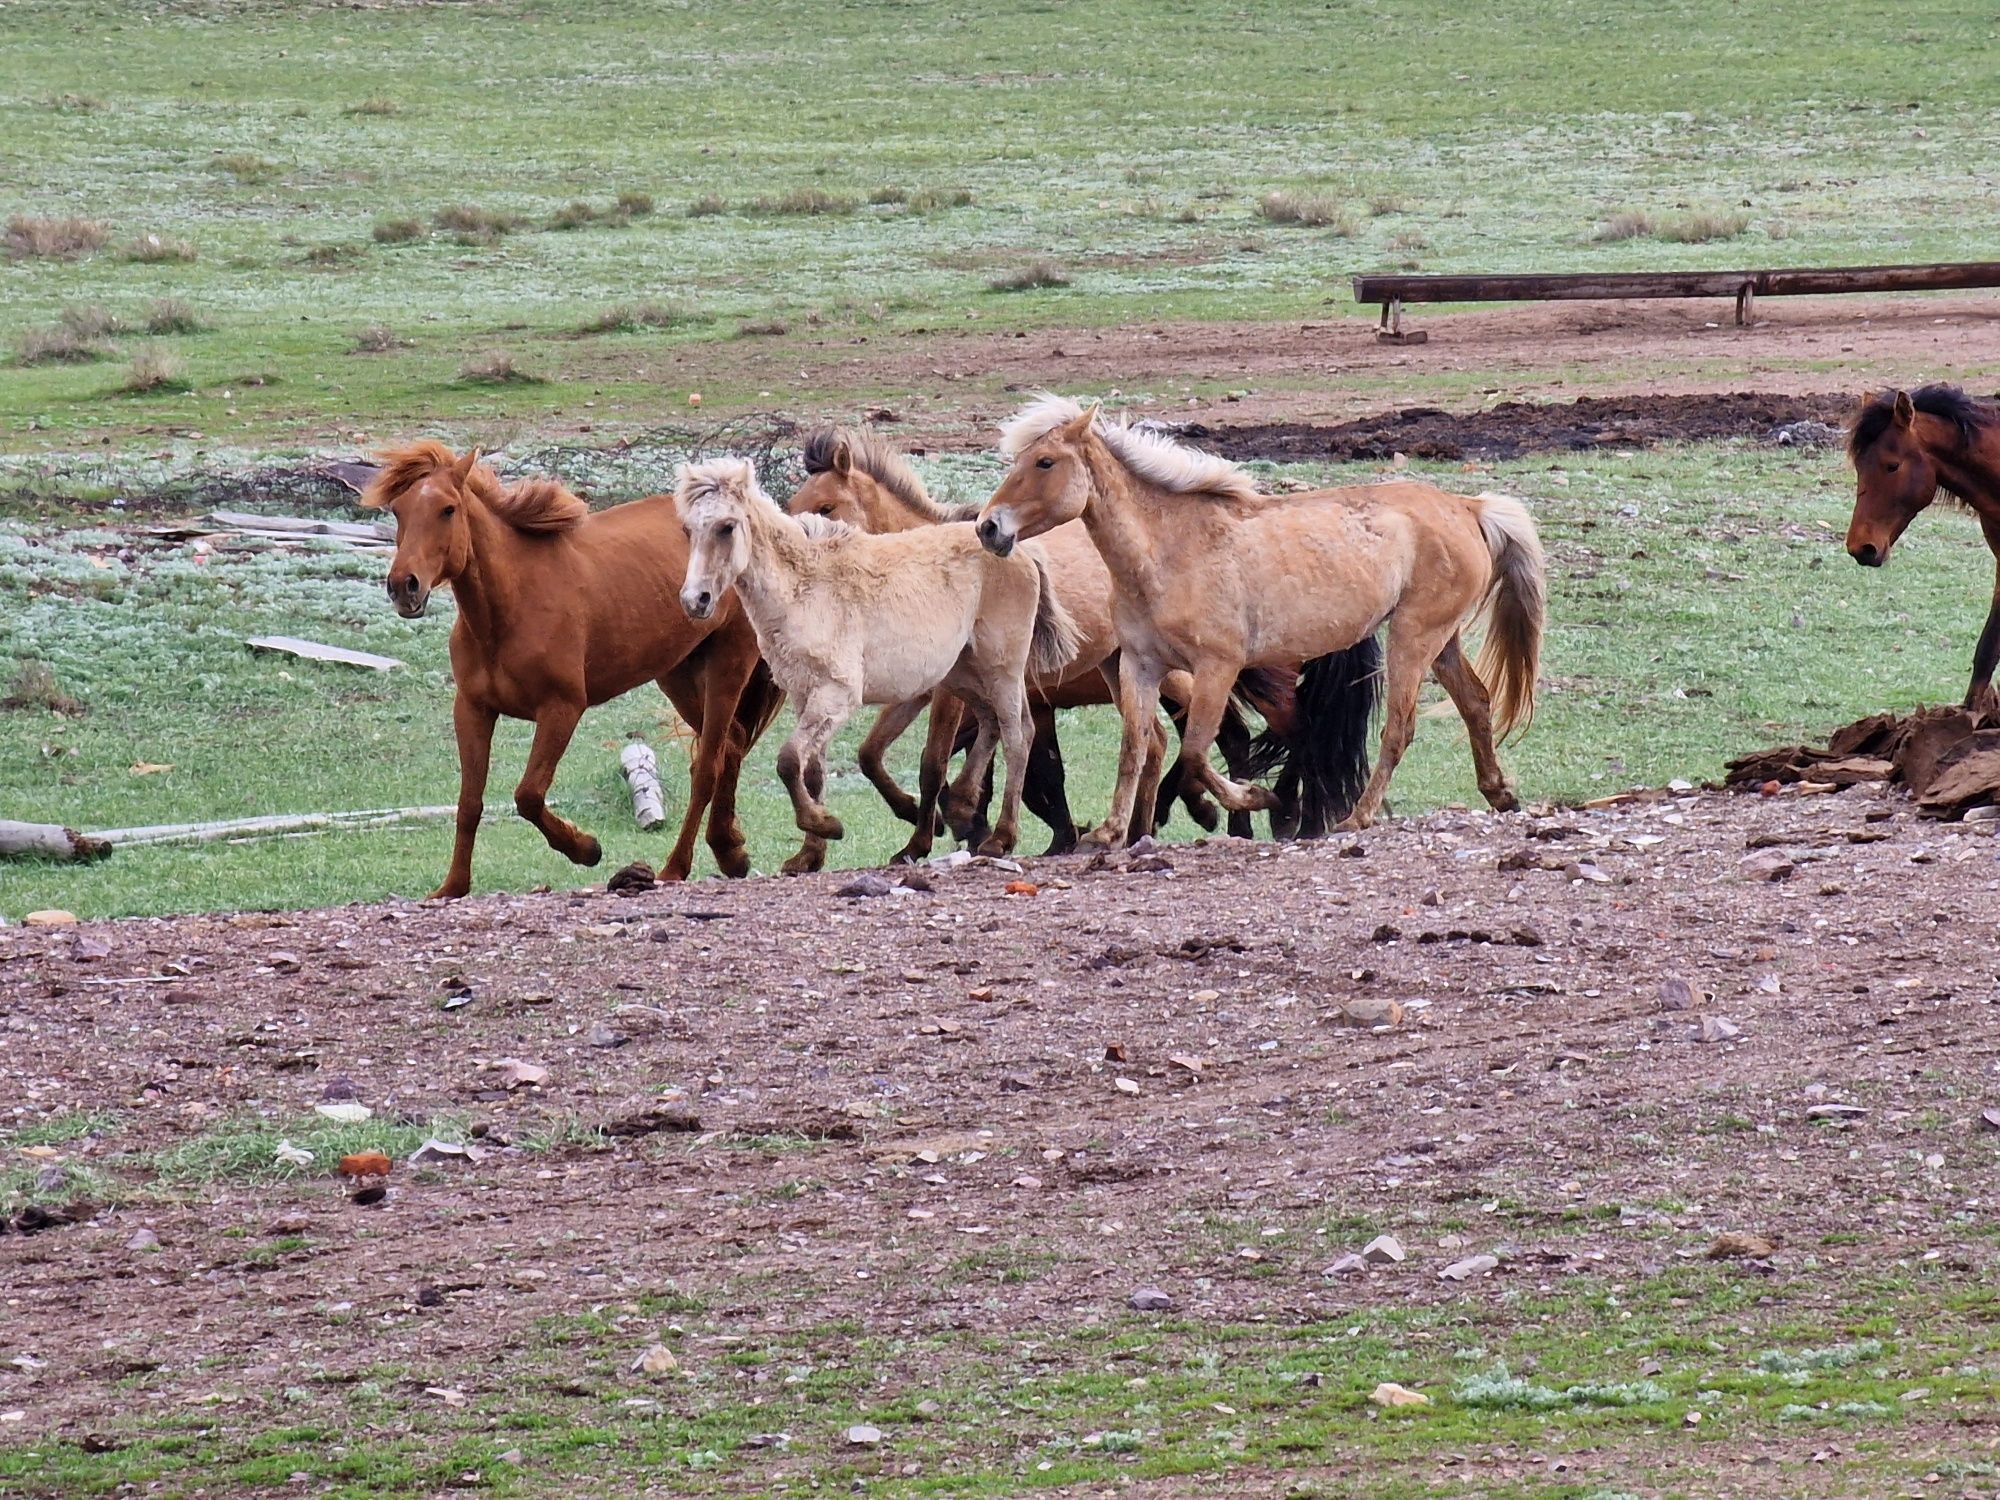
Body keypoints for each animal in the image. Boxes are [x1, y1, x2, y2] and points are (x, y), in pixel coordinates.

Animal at [362, 440, 780, 900]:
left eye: (447, 509)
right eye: (398, 511)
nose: (404, 586)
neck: (510, 608)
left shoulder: (561, 709)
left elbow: (528, 794)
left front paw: (586, 848)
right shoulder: (472, 709)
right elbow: (470, 801)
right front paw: (452, 886)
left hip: (727, 663)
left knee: (707, 767)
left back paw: (676, 867)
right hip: (678, 674)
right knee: (732, 744)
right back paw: (730, 852)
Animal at [672, 456, 1080, 868]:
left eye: (727, 527)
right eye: (688, 530)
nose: (695, 601)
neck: (805, 588)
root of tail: (1020, 550)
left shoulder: (836, 694)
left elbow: (787, 761)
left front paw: (826, 825)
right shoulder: (806, 697)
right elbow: (812, 771)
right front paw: (810, 852)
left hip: (1002, 669)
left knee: (1018, 735)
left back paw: (1000, 837)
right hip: (960, 674)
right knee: (990, 722)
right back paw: (963, 807)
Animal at [796, 426, 1296, 848]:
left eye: (827, 507)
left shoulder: (952, 698)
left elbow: (934, 764)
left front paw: (923, 841)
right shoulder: (926, 690)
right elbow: (871, 754)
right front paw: (926, 817)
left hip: (1175, 675)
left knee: (1223, 733)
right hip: (1123, 671)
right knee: (1157, 739)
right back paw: (1145, 828)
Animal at [976, 396, 1552, 848]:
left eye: (1045, 461)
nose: (988, 527)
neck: (1170, 550)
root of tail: (1468, 506)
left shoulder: (1217, 669)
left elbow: (1195, 755)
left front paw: (1251, 799)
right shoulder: (1139, 666)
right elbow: (1135, 746)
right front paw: (1111, 832)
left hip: (1412, 637)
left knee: (1399, 727)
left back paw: (1355, 818)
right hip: (1441, 639)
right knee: (1475, 702)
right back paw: (1501, 794)